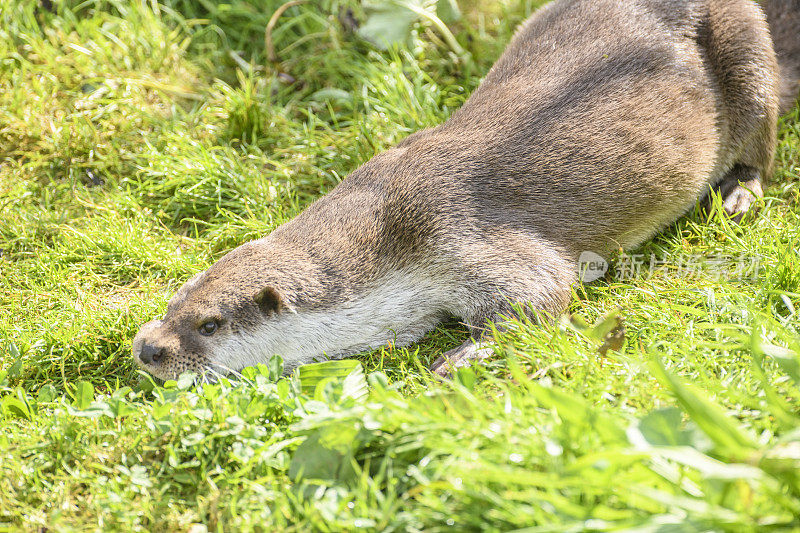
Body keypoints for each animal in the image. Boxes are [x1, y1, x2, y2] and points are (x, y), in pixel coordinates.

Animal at [131, 0, 800, 382]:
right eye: (172, 302)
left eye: (209, 324)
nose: (146, 349)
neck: (392, 236)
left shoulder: (465, 237)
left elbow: (541, 294)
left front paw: (458, 359)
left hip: (744, 50)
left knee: (762, 127)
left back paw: (739, 193)